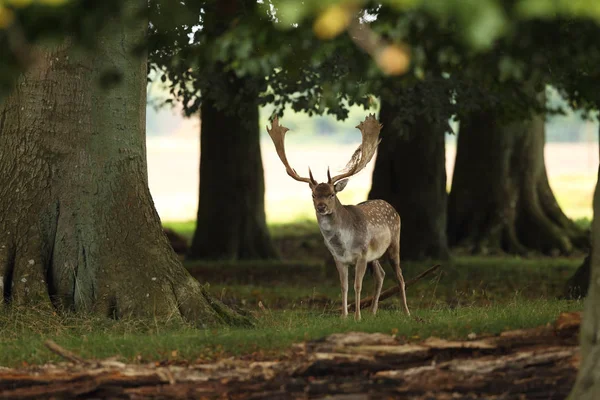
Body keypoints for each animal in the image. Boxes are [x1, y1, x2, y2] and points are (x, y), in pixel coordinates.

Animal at [266, 114, 410, 320]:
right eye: (313, 195)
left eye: (332, 194)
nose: (322, 207)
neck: (344, 245)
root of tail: (390, 205)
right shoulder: (339, 259)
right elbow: (344, 286)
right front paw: (344, 317)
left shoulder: (361, 255)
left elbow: (357, 286)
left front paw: (357, 317)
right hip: (374, 255)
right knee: (381, 275)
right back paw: (373, 312)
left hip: (394, 243)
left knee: (399, 276)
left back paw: (406, 312)